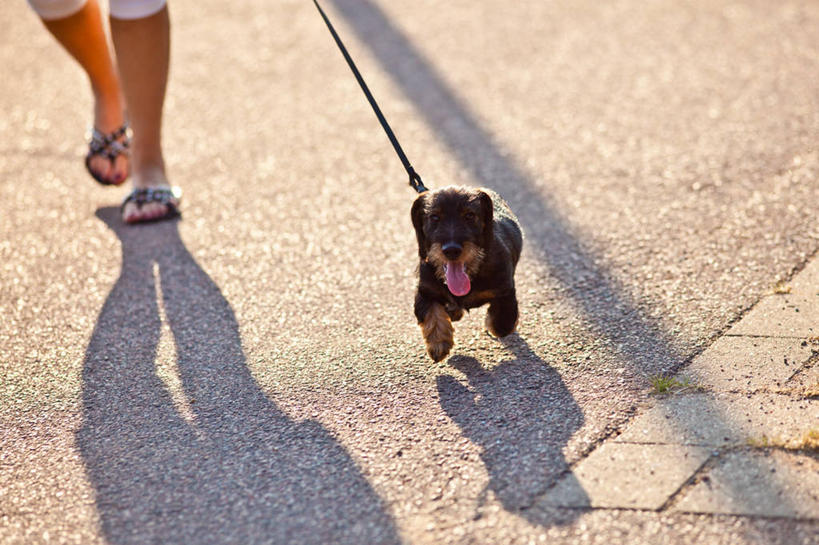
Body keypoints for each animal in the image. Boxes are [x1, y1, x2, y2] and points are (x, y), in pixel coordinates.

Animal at [410, 185, 524, 360]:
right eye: (434, 217)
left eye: (469, 215)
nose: (451, 250)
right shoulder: (425, 290)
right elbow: (431, 313)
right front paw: (439, 343)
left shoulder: (505, 290)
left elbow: (502, 324)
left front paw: (491, 322)